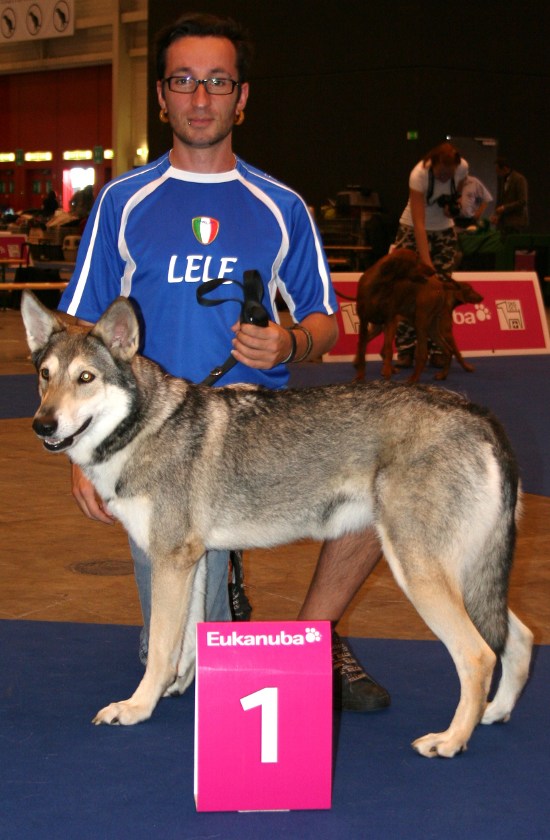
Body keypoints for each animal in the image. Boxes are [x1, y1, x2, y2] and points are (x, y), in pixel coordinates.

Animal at [356, 248, 486, 382]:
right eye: (469, 290)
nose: (482, 297)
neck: (379, 285)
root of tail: (440, 285)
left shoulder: (389, 321)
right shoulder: (364, 320)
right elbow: (457, 352)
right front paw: (360, 376)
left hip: (421, 327)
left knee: (444, 351)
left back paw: (433, 376)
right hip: (416, 325)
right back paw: (413, 378)